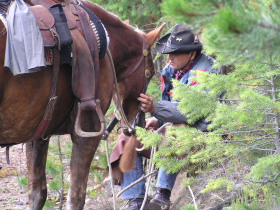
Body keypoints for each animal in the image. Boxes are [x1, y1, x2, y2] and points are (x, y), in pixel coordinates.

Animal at [0, 0, 165, 209]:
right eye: (150, 72)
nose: (139, 123)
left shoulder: (38, 134)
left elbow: (37, 193)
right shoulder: (88, 133)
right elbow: (76, 197)